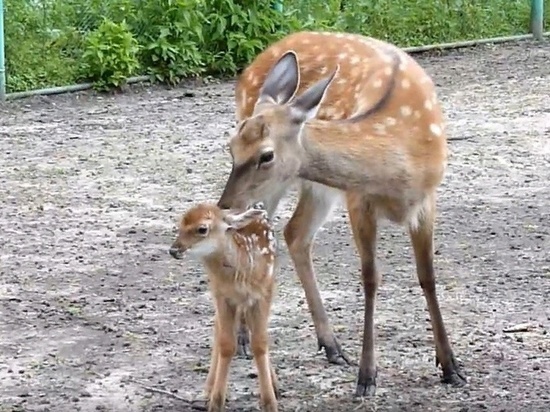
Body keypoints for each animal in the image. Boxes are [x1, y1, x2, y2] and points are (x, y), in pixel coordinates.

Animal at [218, 30, 468, 394]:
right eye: (232, 148)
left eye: (266, 155)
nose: (224, 205)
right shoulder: (358, 198)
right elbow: (370, 278)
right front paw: (367, 376)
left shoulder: (427, 200)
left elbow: (428, 276)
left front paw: (451, 366)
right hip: (279, 189)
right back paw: (244, 338)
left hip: (314, 188)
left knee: (295, 233)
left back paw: (331, 345)